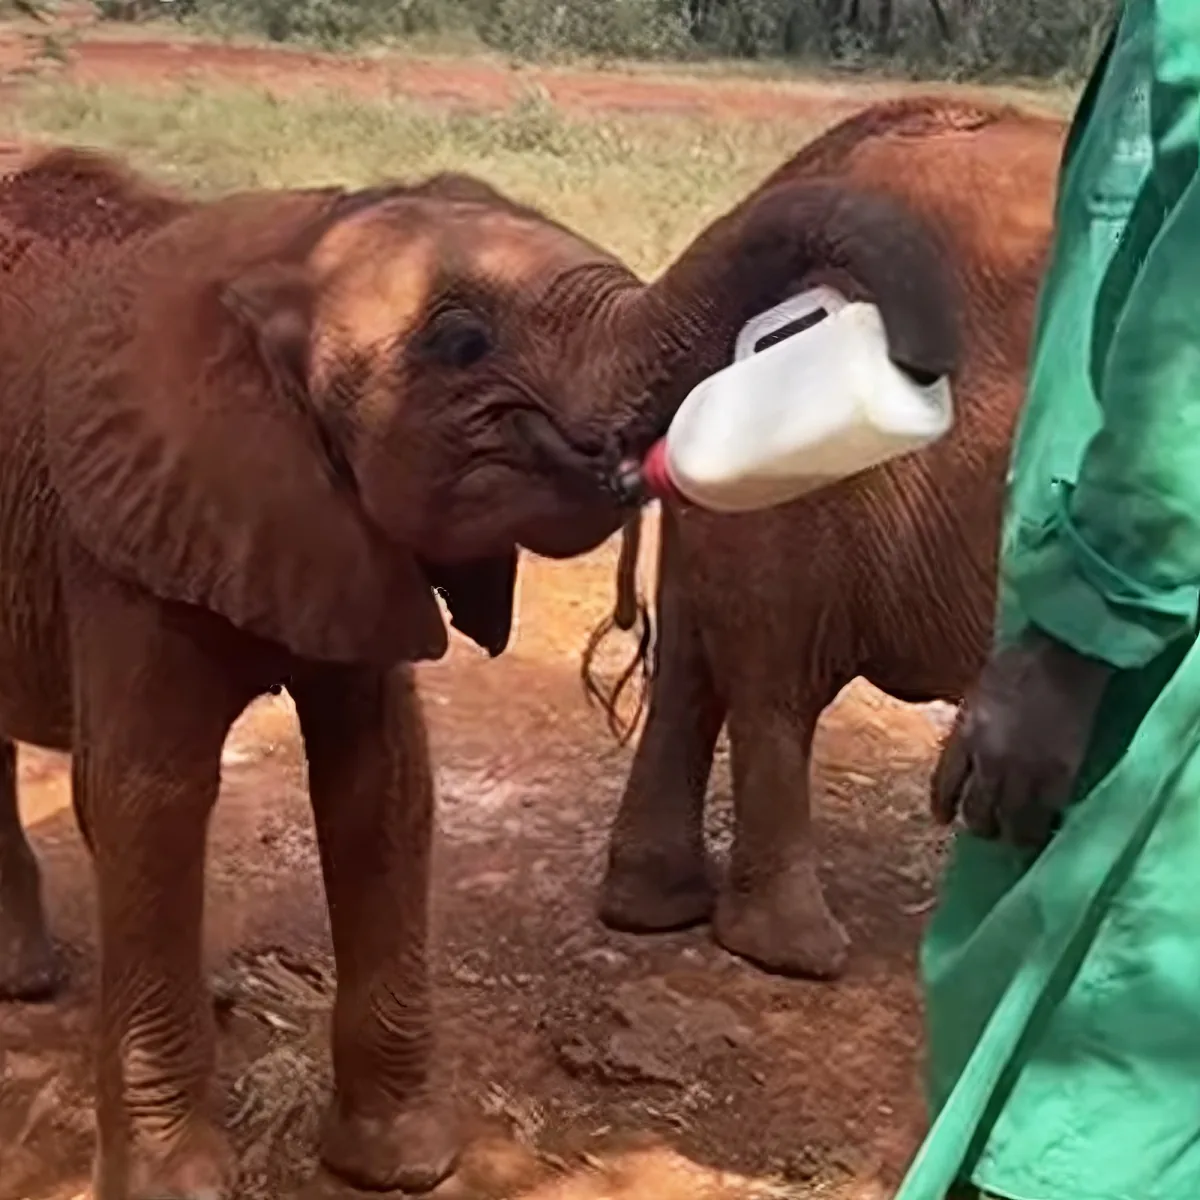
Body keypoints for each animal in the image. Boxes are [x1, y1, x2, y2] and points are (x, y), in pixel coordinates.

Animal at [0, 141, 957, 1199]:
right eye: (460, 342)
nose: (908, 363)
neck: (297, 250)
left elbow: (381, 786)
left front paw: (403, 1163)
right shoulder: (119, 533)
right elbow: (149, 799)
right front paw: (181, 1188)